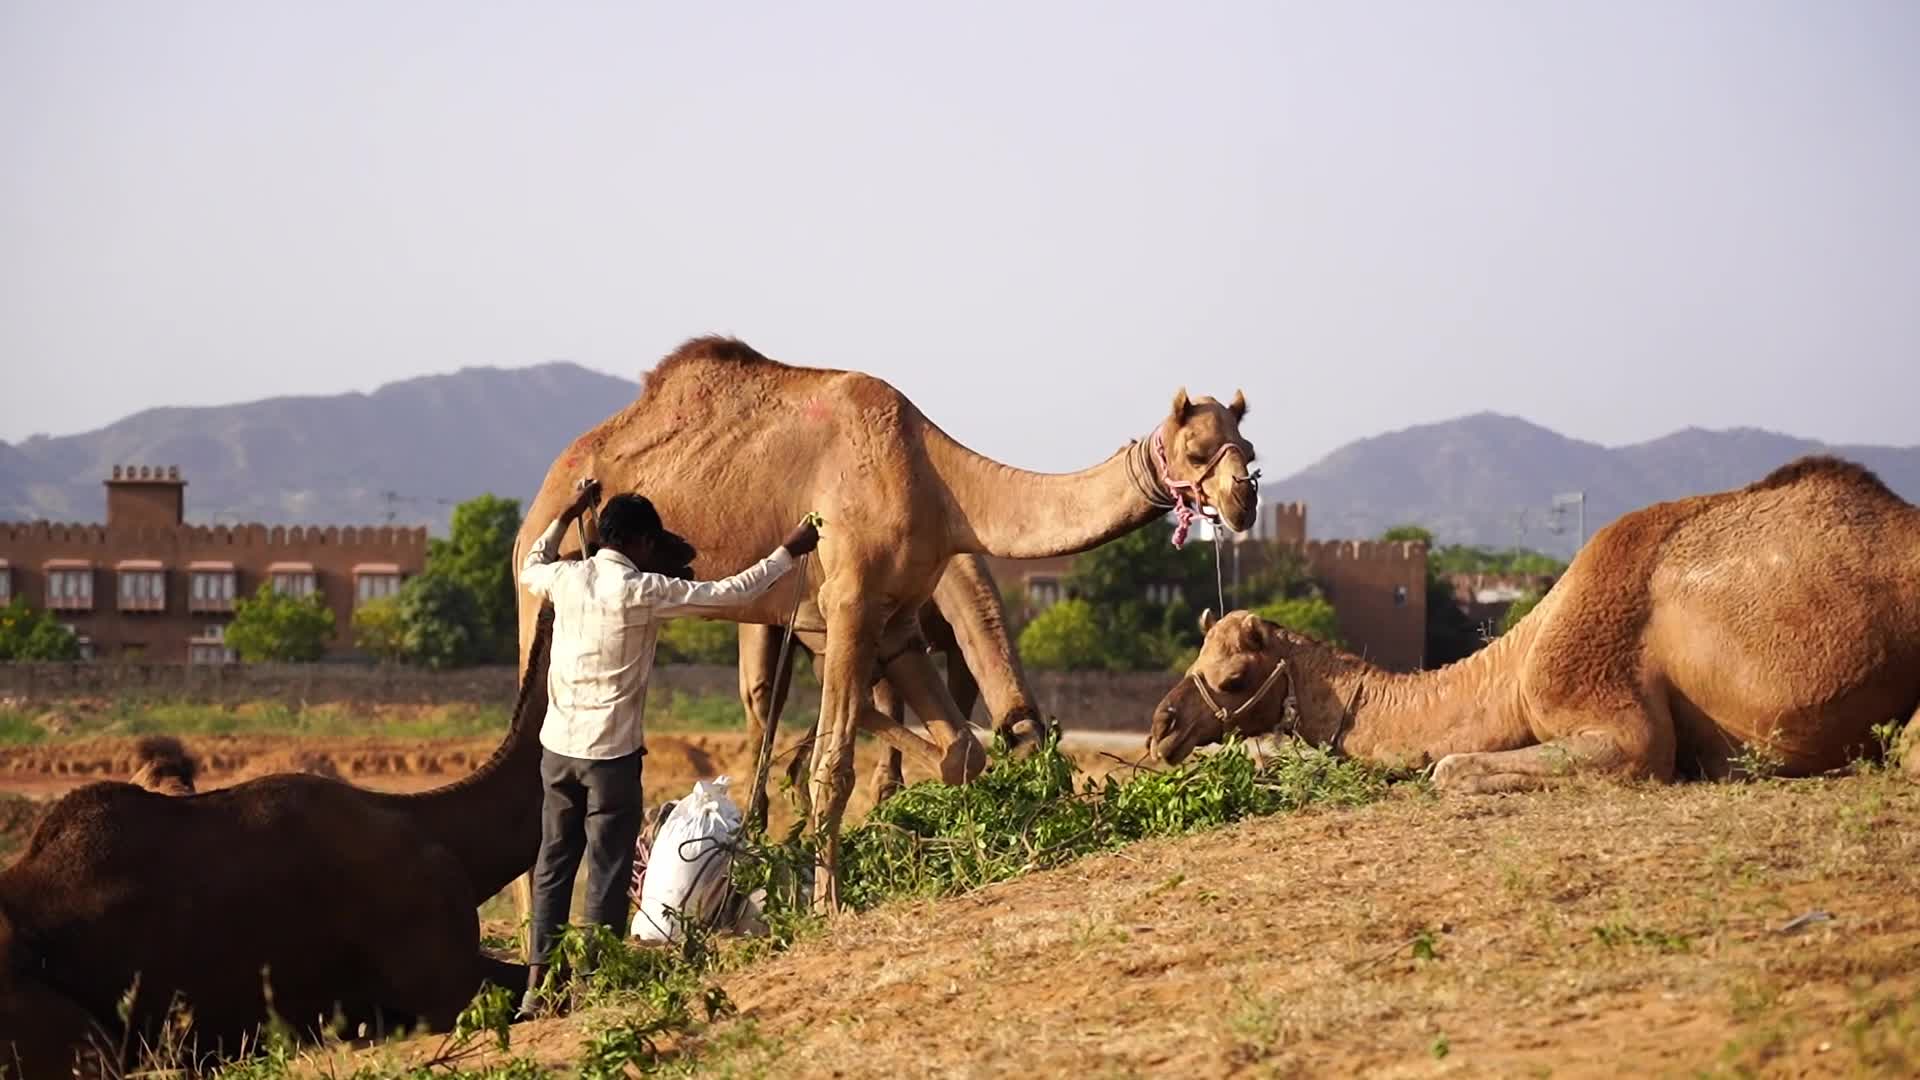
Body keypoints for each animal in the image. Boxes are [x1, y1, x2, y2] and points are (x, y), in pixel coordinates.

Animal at [1149, 457, 1920, 791]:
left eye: (1233, 675)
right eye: (1193, 658)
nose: (1162, 727)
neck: (1515, 671)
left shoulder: (1620, 719)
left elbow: (1449, 767)